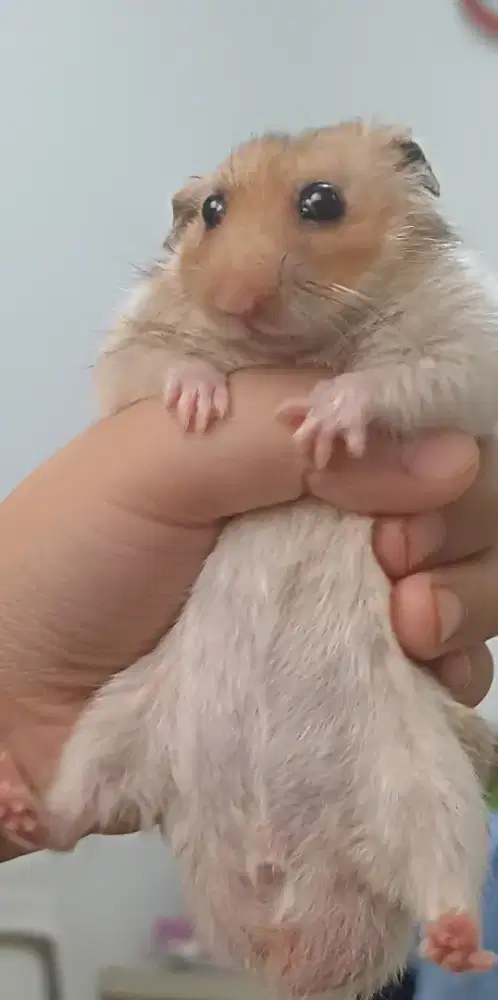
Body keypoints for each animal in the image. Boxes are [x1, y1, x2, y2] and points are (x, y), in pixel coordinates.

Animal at [47, 121, 498, 999]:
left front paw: (323, 418)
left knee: (440, 877)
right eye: (212, 211)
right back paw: (22, 808)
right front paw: (203, 403)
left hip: (428, 784)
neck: (301, 344)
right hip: (111, 728)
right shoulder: (133, 341)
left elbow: (401, 375)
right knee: (74, 811)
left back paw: (462, 944)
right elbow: (153, 368)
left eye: (322, 201)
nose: (235, 300)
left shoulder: (467, 342)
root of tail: (282, 943)